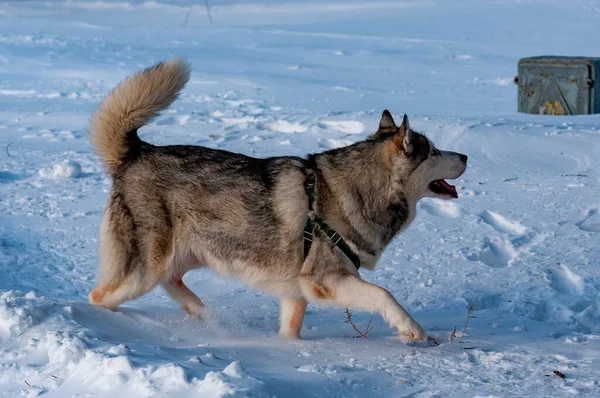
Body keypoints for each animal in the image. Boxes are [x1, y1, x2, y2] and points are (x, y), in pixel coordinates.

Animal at [88, 58, 468, 342]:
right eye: (434, 151)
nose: (465, 155)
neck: (358, 190)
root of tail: (138, 151)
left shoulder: (296, 293)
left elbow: (290, 332)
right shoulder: (323, 282)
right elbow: (384, 294)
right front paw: (411, 330)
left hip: (187, 256)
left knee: (172, 282)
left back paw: (203, 313)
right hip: (144, 270)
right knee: (99, 297)